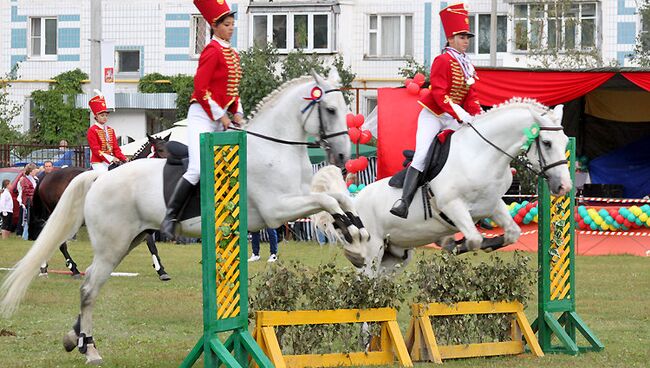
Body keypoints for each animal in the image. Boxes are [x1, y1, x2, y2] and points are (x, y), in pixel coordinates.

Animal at [31, 134, 171, 280]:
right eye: (160, 150)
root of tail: (47, 176)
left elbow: (151, 244)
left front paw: (161, 271)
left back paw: (44, 267)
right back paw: (73, 269)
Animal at [312, 99, 568, 274]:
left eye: (565, 142)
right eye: (546, 143)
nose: (563, 187)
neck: (483, 154)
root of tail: (355, 201)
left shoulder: (493, 205)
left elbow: (512, 233)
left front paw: (465, 243)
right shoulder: (453, 206)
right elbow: (474, 239)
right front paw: (453, 244)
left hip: (395, 256)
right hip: (373, 249)